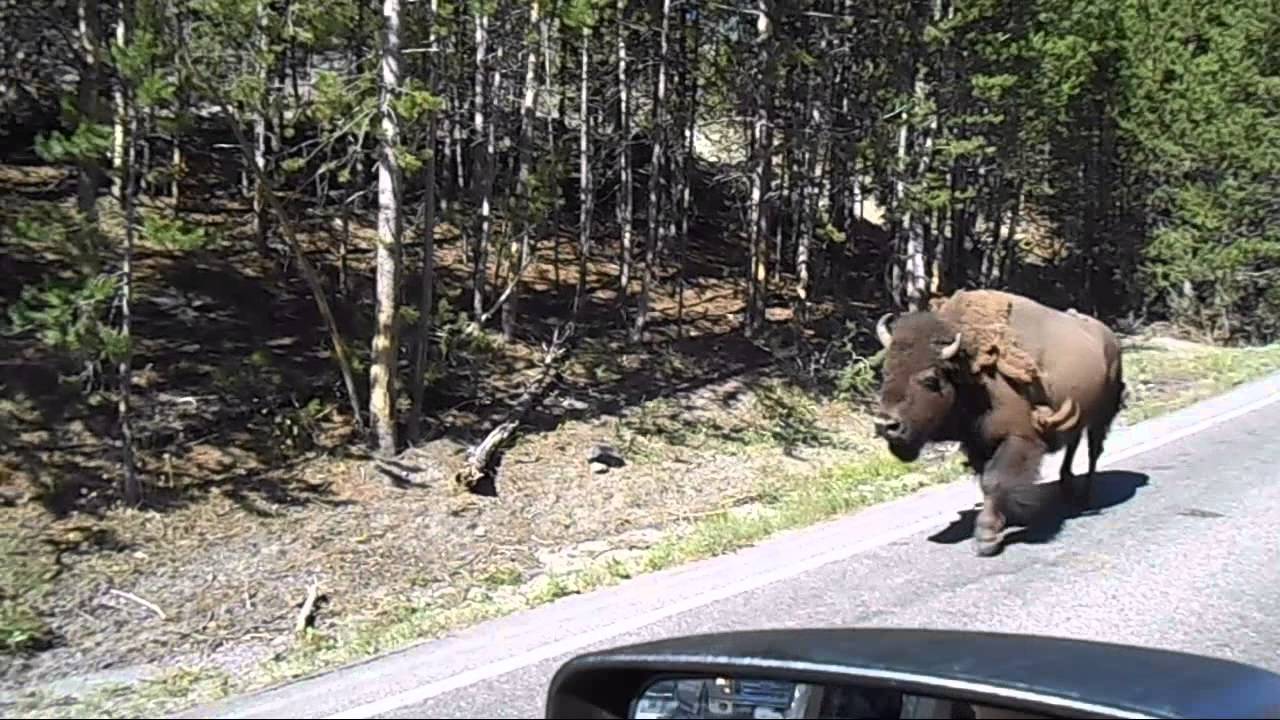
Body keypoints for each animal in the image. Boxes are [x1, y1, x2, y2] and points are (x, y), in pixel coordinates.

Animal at [872, 289, 1126, 556]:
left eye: (930, 379)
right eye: (885, 372)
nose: (886, 425)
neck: (975, 377)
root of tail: (1110, 336)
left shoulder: (1019, 438)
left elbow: (994, 481)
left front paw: (987, 537)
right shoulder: (978, 445)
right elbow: (987, 480)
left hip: (1102, 416)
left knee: (1093, 451)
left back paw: (1086, 496)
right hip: (1077, 416)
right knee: (1074, 445)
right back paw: (1067, 485)